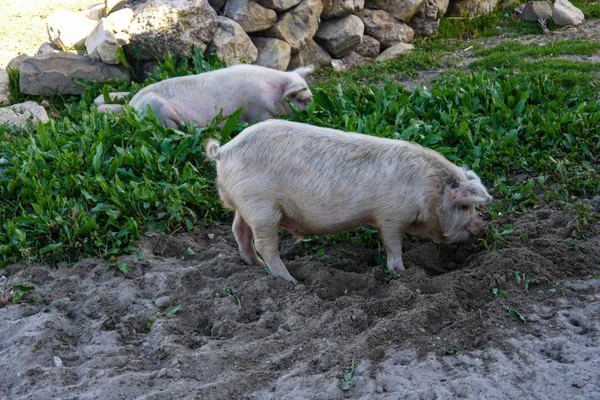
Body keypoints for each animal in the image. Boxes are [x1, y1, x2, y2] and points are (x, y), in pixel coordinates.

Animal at [125, 64, 316, 128]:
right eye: (301, 99)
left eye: (311, 97)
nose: (312, 111)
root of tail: (131, 106)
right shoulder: (257, 110)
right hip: (158, 110)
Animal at [205, 120, 492, 282]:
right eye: (464, 206)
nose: (482, 228)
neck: (427, 189)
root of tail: (224, 152)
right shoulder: (391, 215)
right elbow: (393, 245)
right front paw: (402, 272)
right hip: (263, 208)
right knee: (265, 245)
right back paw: (291, 281)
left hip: (246, 206)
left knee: (239, 230)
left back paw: (253, 264)